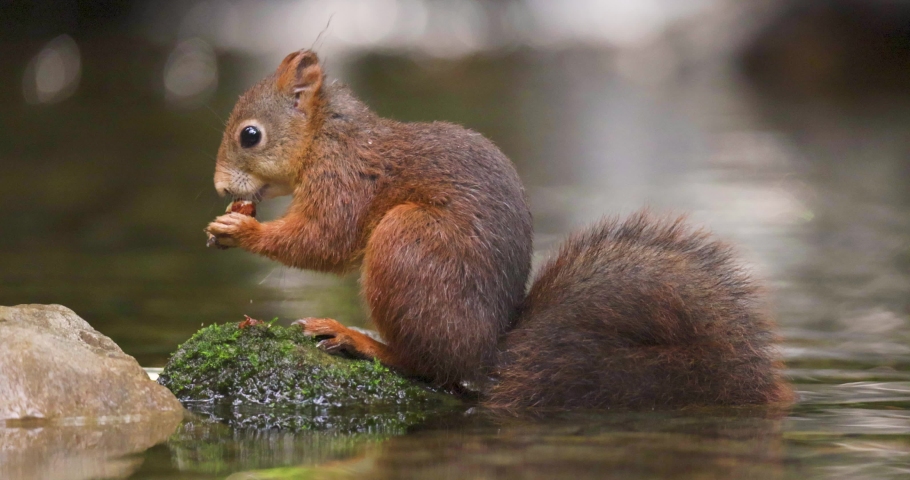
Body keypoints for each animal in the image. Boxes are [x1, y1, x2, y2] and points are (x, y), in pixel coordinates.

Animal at [205, 49, 793, 409]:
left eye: (250, 135)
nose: (217, 186)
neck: (327, 135)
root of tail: (490, 353)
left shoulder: (346, 179)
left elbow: (325, 240)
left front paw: (239, 230)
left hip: (407, 242)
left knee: (429, 367)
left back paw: (359, 340)